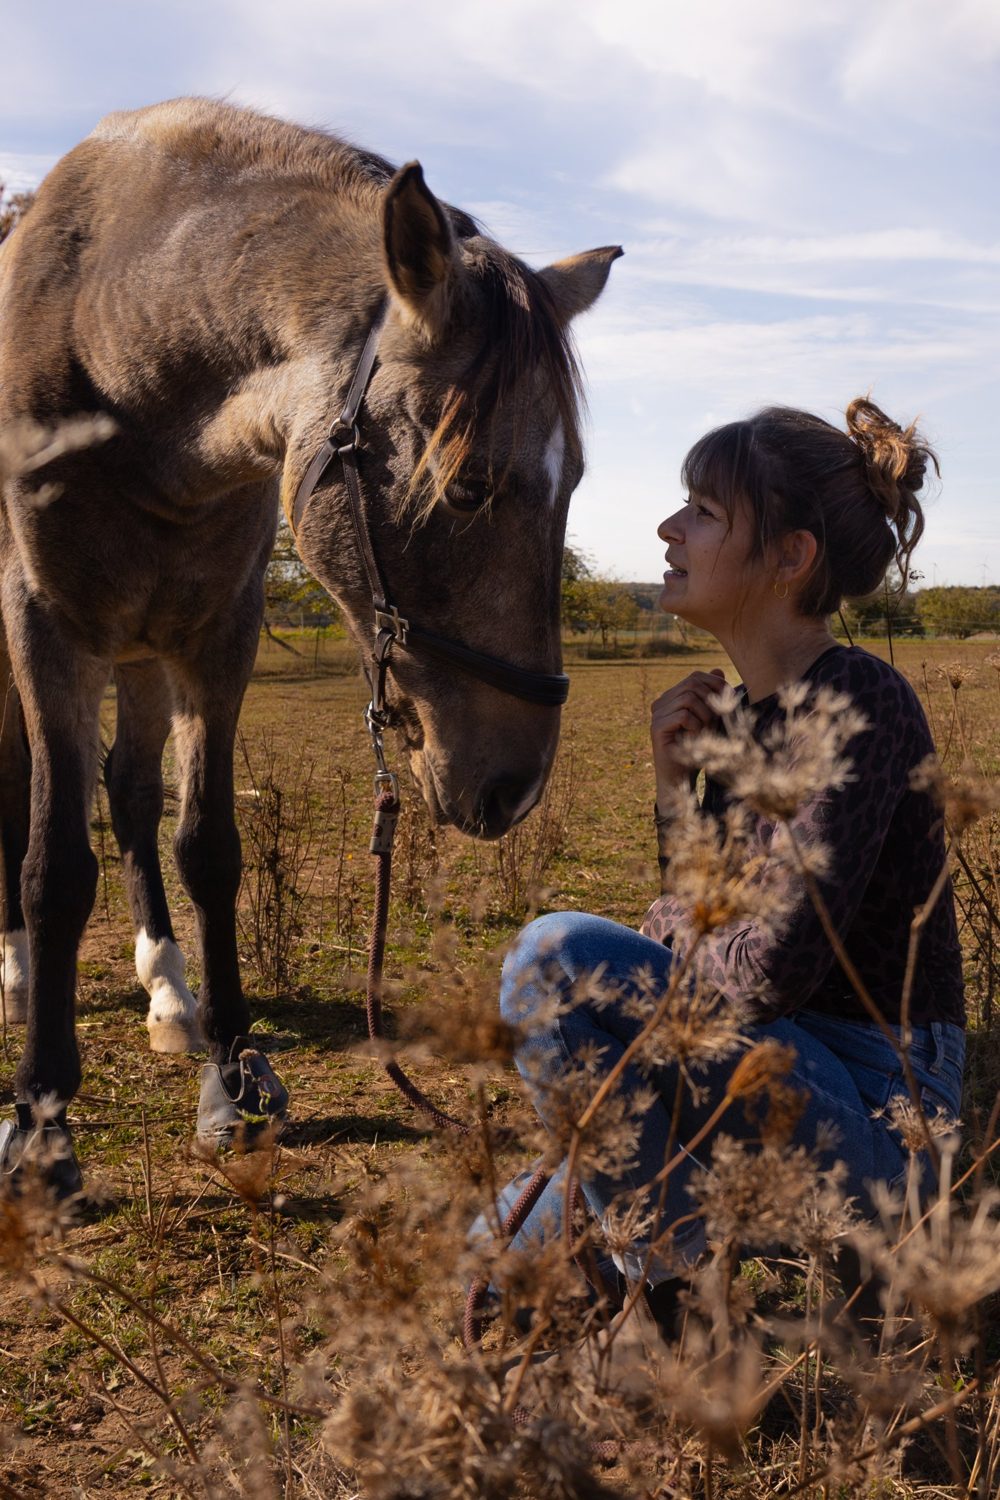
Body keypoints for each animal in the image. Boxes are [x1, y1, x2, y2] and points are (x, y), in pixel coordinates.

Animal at [0, 97, 619, 1192]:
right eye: (467, 486)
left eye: (576, 479)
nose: (515, 789)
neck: (115, 332)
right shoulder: (47, 627)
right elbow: (55, 867)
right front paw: (41, 1120)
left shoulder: (217, 635)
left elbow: (206, 846)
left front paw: (230, 1075)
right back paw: (20, 973)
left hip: (143, 652)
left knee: (130, 794)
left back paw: (166, 991)